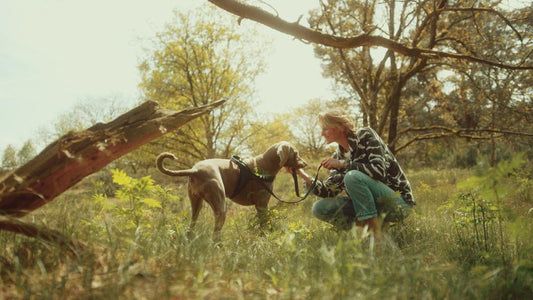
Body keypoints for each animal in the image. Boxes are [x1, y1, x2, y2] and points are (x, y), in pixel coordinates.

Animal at [156, 142, 306, 238]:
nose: (305, 164)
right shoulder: (262, 204)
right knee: (215, 234)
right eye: (296, 153)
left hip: (196, 203)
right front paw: (266, 237)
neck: (263, 165)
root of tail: (195, 171)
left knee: (192, 226)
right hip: (220, 204)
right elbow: (265, 224)